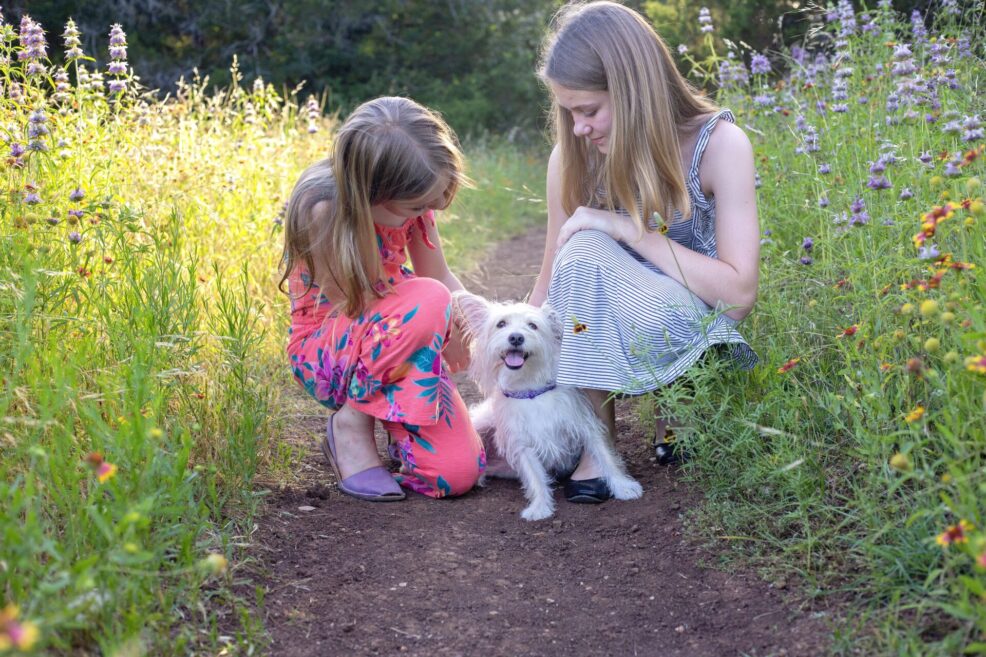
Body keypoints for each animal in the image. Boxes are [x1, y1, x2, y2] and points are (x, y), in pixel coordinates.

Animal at [452, 290, 640, 520]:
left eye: (532, 325)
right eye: (501, 324)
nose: (516, 337)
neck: (531, 391)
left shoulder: (586, 426)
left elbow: (606, 456)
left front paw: (623, 486)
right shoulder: (523, 444)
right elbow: (535, 477)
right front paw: (540, 506)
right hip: (482, 423)